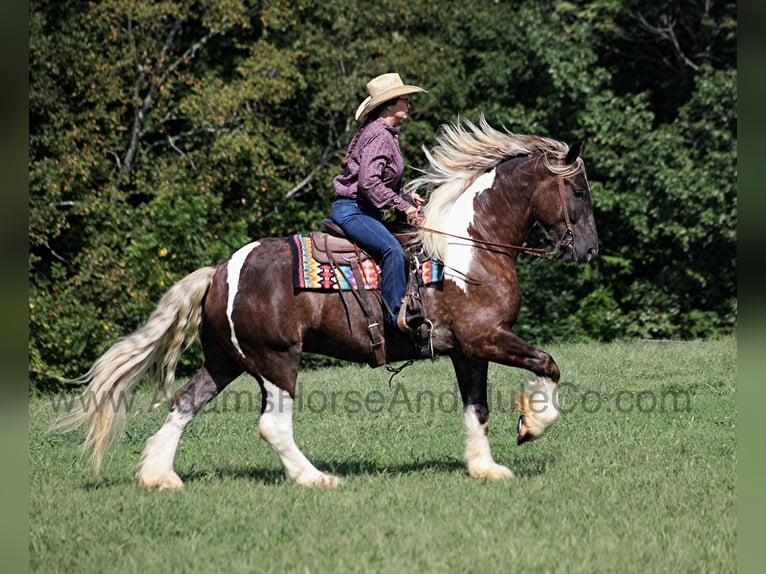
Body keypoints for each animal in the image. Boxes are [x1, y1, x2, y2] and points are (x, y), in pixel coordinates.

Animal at [57, 117, 604, 490]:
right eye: (578, 190)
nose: (589, 250)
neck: (469, 248)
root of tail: (219, 272)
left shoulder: (467, 350)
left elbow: (478, 407)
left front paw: (485, 466)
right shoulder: (486, 338)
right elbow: (548, 364)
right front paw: (531, 424)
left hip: (227, 360)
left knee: (184, 403)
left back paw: (159, 477)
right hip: (277, 360)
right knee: (272, 424)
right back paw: (315, 478)